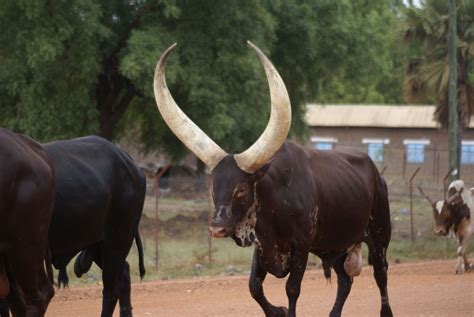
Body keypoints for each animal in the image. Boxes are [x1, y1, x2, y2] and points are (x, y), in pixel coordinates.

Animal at [153, 42, 392, 316]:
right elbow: (253, 286)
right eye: (213, 188)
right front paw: (276, 310)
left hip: (379, 235)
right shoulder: (262, 247)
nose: (217, 228)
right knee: (345, 279)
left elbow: (292, 289)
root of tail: (376, 174)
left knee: (381, 274)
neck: (276, 201)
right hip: (336, 244)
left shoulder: (301, 246)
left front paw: (286, 310)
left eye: (241, 189)